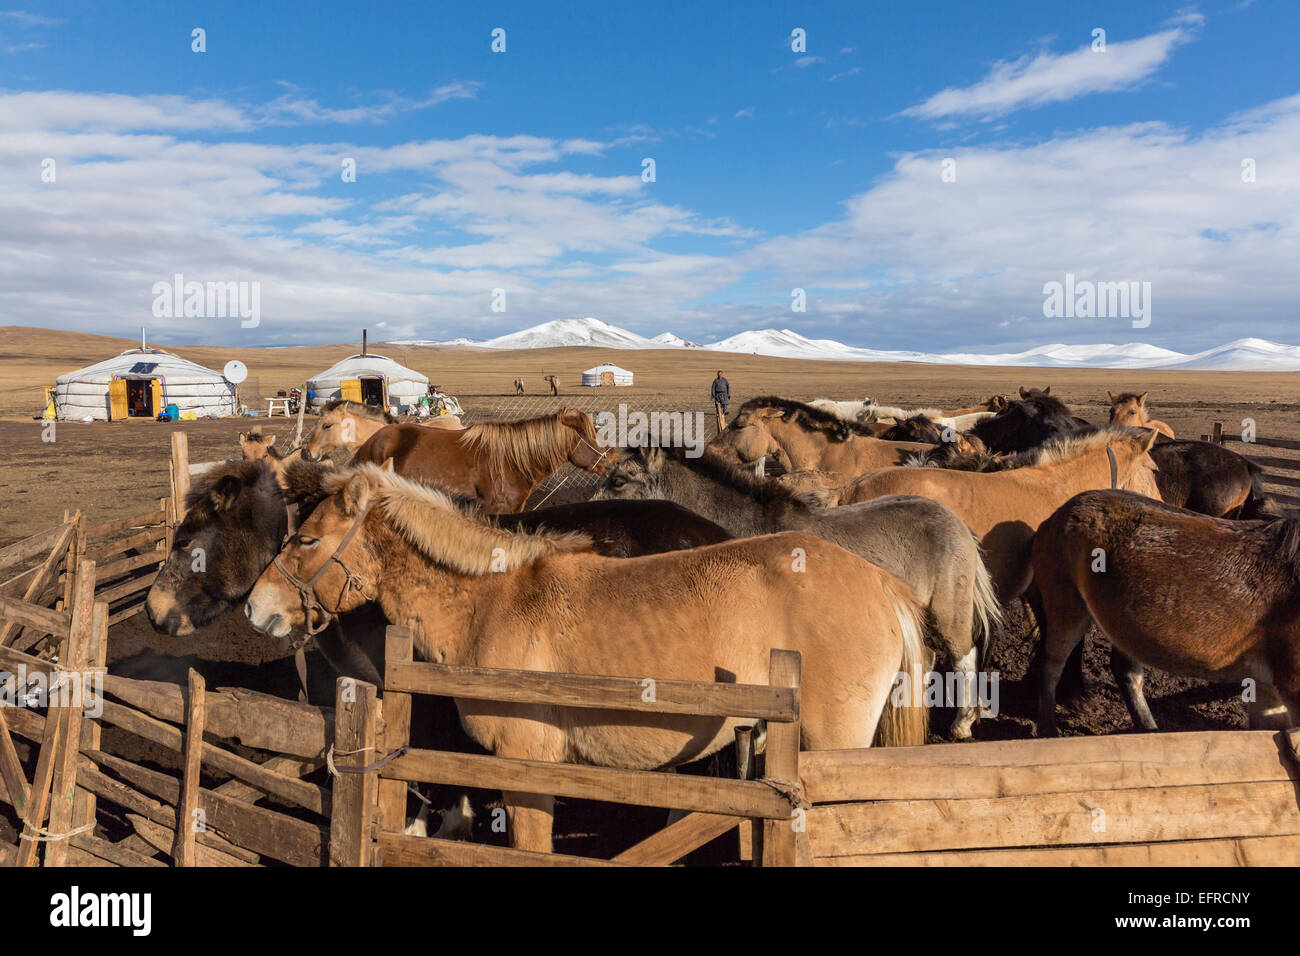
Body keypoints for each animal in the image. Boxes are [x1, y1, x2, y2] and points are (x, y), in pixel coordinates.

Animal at [1029, 489, 1294, 738]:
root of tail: (1056, 516)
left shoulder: (1268, 690)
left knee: (1126, 672)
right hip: (1066, 611)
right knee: (1051, 666)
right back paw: (1048, 730)